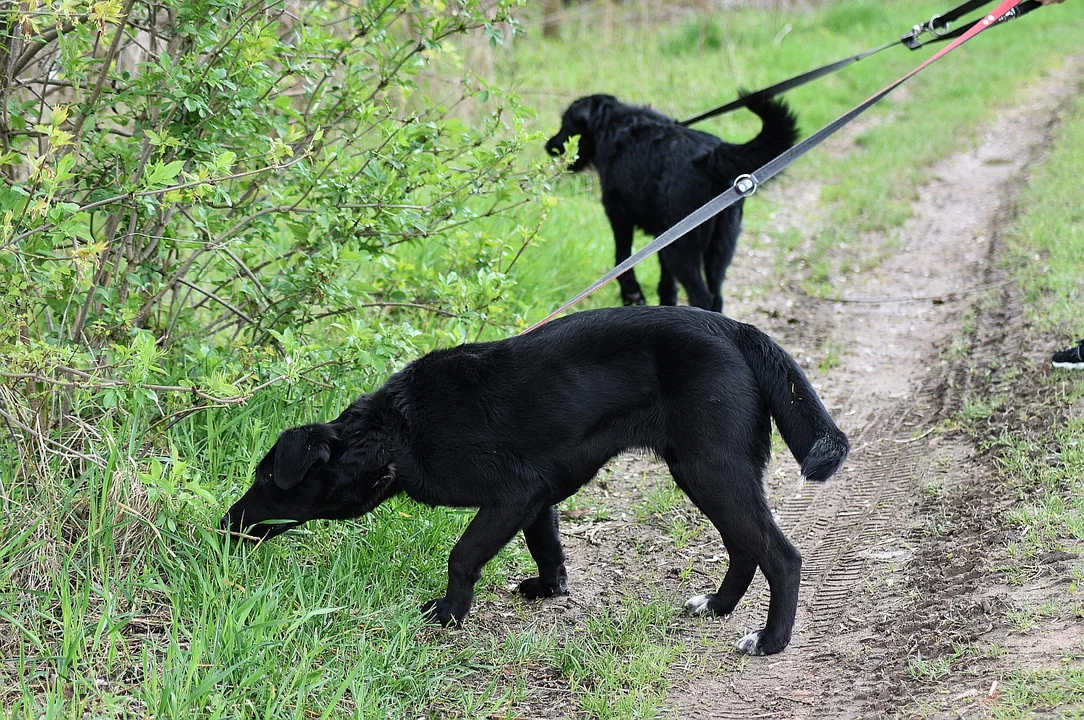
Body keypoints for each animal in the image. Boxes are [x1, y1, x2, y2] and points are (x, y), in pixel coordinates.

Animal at [220, 305, 845, 654]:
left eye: (267, 477)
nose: (225, 524)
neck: (395, 431)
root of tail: (735, 328)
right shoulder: (536, 497)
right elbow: (548, 549)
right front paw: (550, 590)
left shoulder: (511, 494)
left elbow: (462, 557)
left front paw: (448, 615)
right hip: (706, 472)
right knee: (744, 547)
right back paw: (717, 605)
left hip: (710, 469)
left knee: (780, 555)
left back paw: (770, 641)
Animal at [550, 94, 797, 310]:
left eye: (565, 124)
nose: (548, 145)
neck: (612, 123)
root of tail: (711, 158)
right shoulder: (664, 235)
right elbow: (667, 284)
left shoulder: (619, 215)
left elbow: (622, 258)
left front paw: (632, 294)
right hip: (720, 248)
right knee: (717, 296)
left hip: (684, 250)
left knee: (702, 297)